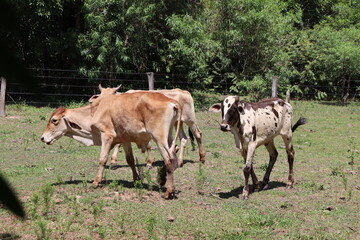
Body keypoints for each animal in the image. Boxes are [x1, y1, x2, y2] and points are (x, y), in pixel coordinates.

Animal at [41, 92, 181, 199]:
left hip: (159, 138)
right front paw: (136, 179)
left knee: (168, 159)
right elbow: (130, 160)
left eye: (54, 120)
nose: (42, 138)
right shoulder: (125, 139)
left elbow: (102, 159)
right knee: (174, 153)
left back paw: (168, 192)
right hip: (169, 137)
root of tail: (171, 101)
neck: (95, 111)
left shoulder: (106, 136)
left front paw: (96, 181)